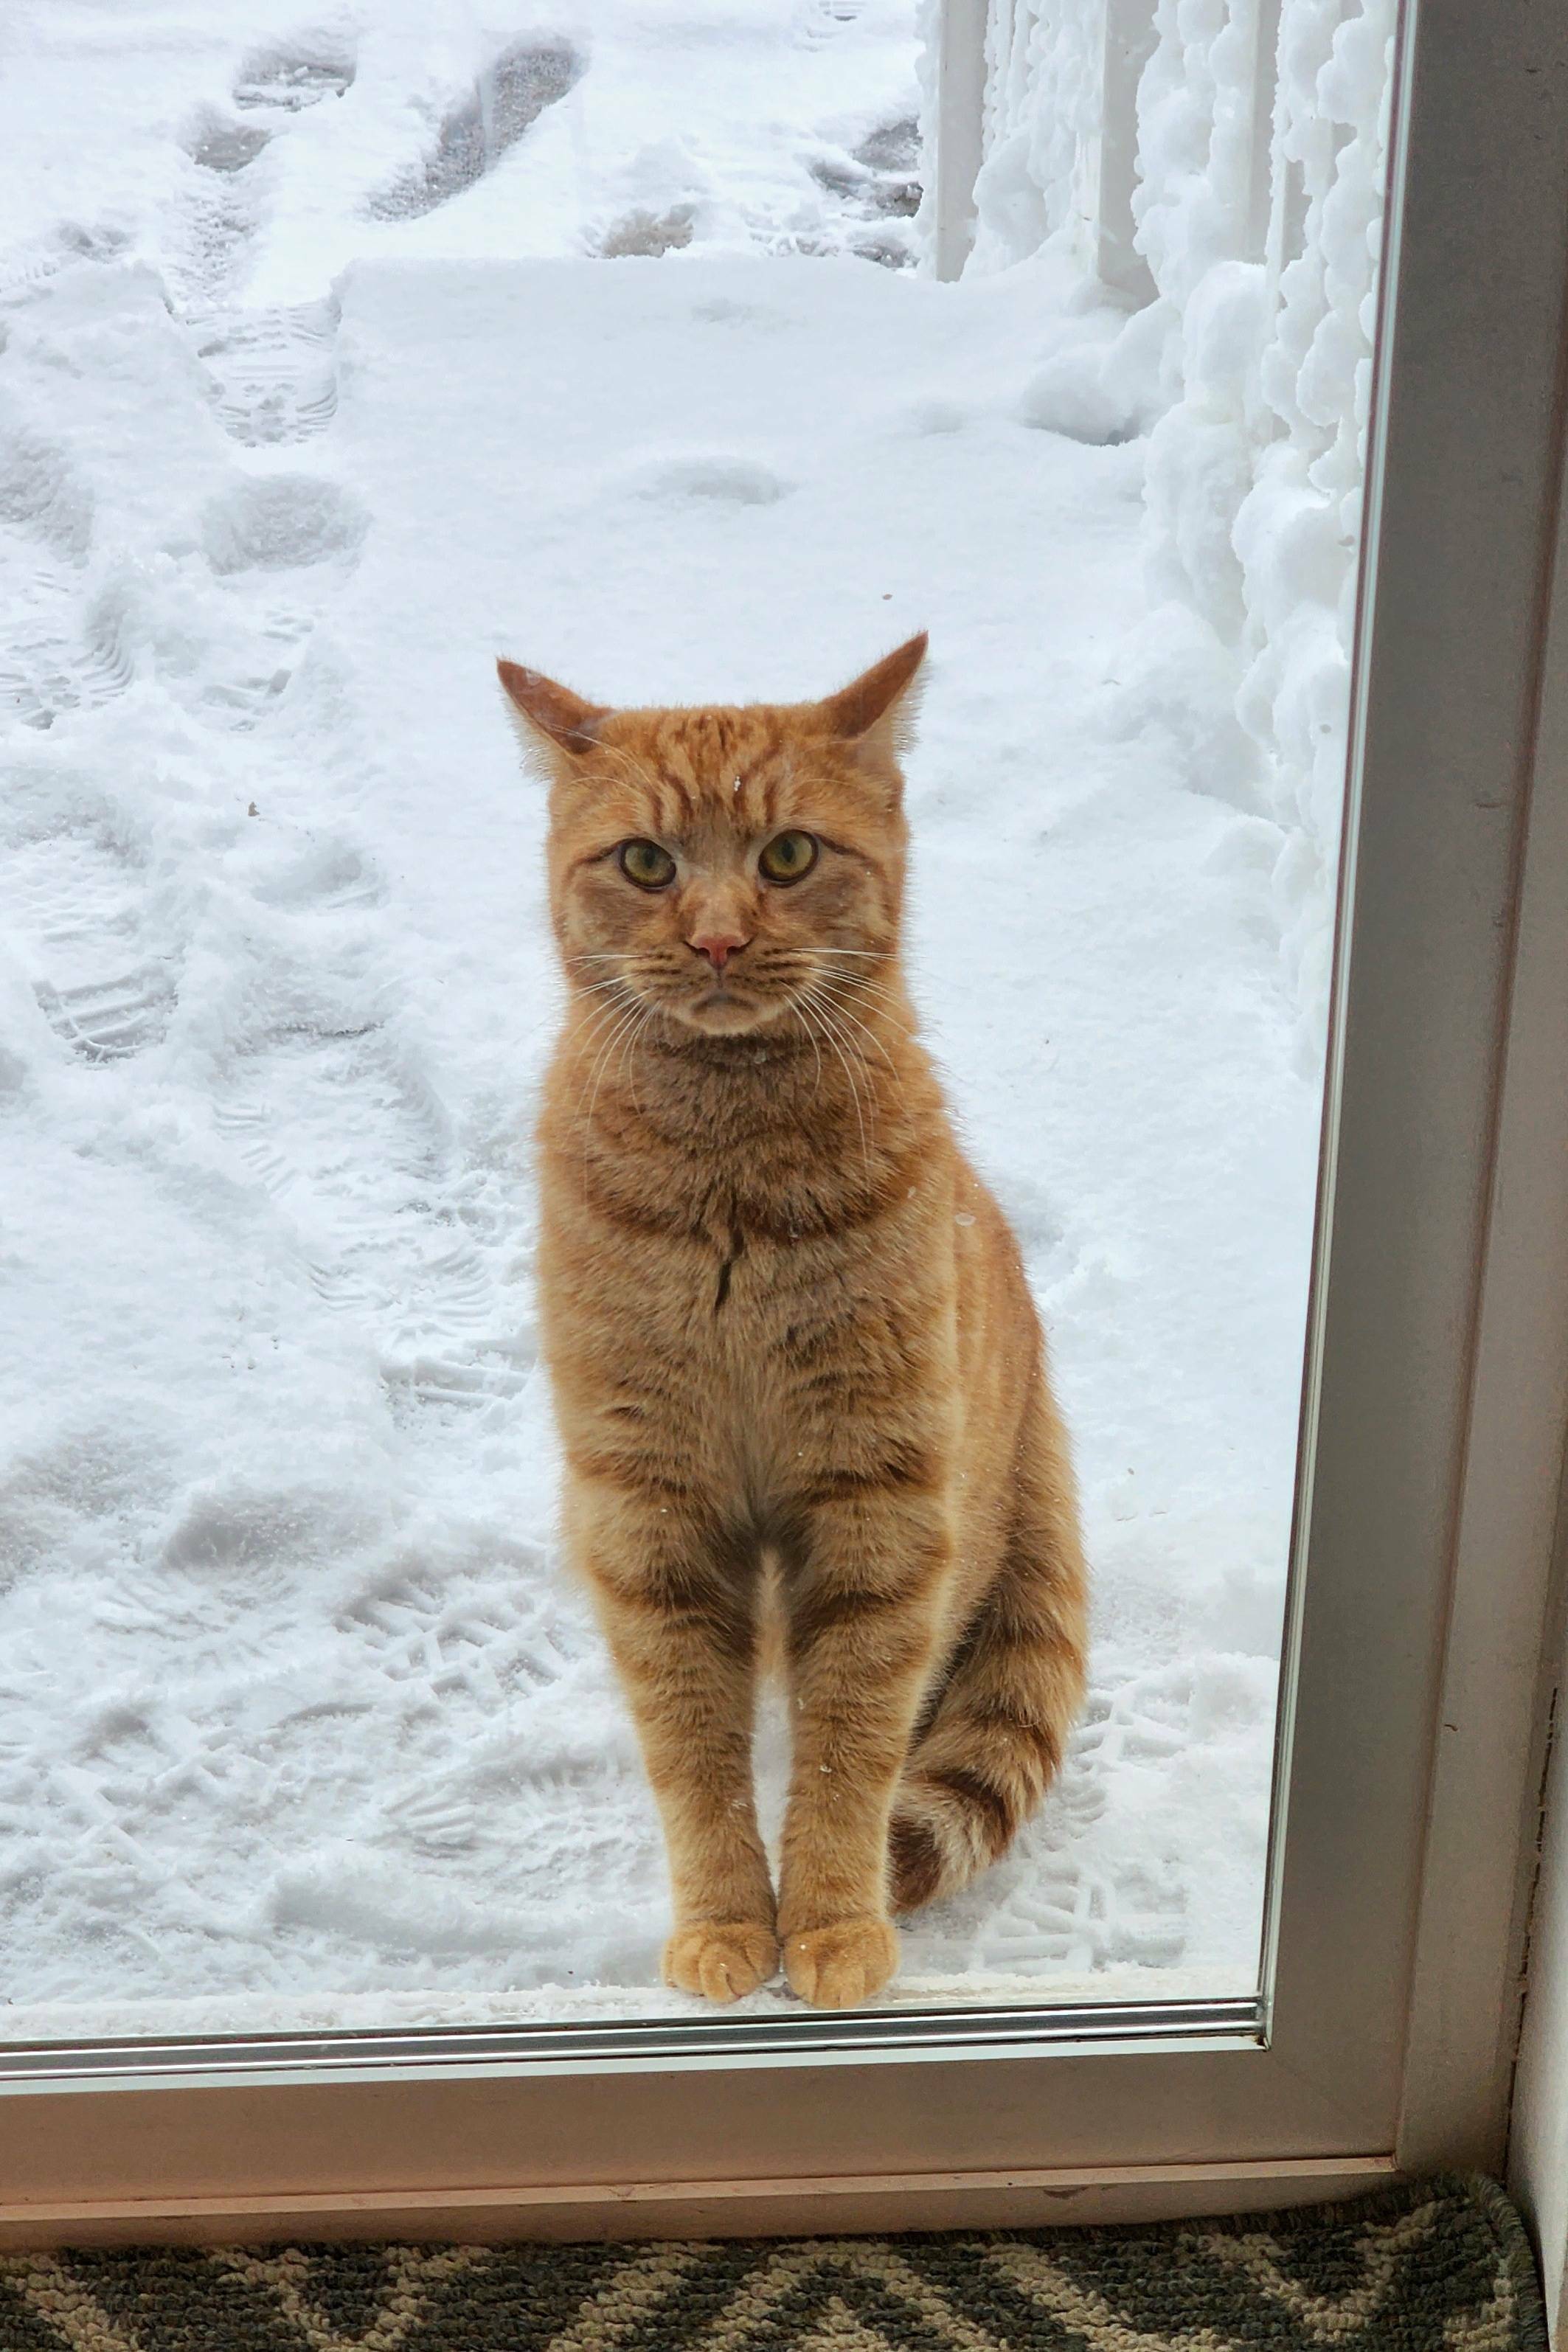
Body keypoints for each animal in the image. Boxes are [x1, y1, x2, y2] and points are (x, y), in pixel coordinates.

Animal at [496, 635, 1086, 2013]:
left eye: (787, 856)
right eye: (646, 863)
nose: (717, 938)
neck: (731, 1185)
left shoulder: (880, 1509)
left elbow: (847, 1751)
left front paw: (827, 1926)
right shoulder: (647, 1510)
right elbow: (694, 1755)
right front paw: (724, 1927)